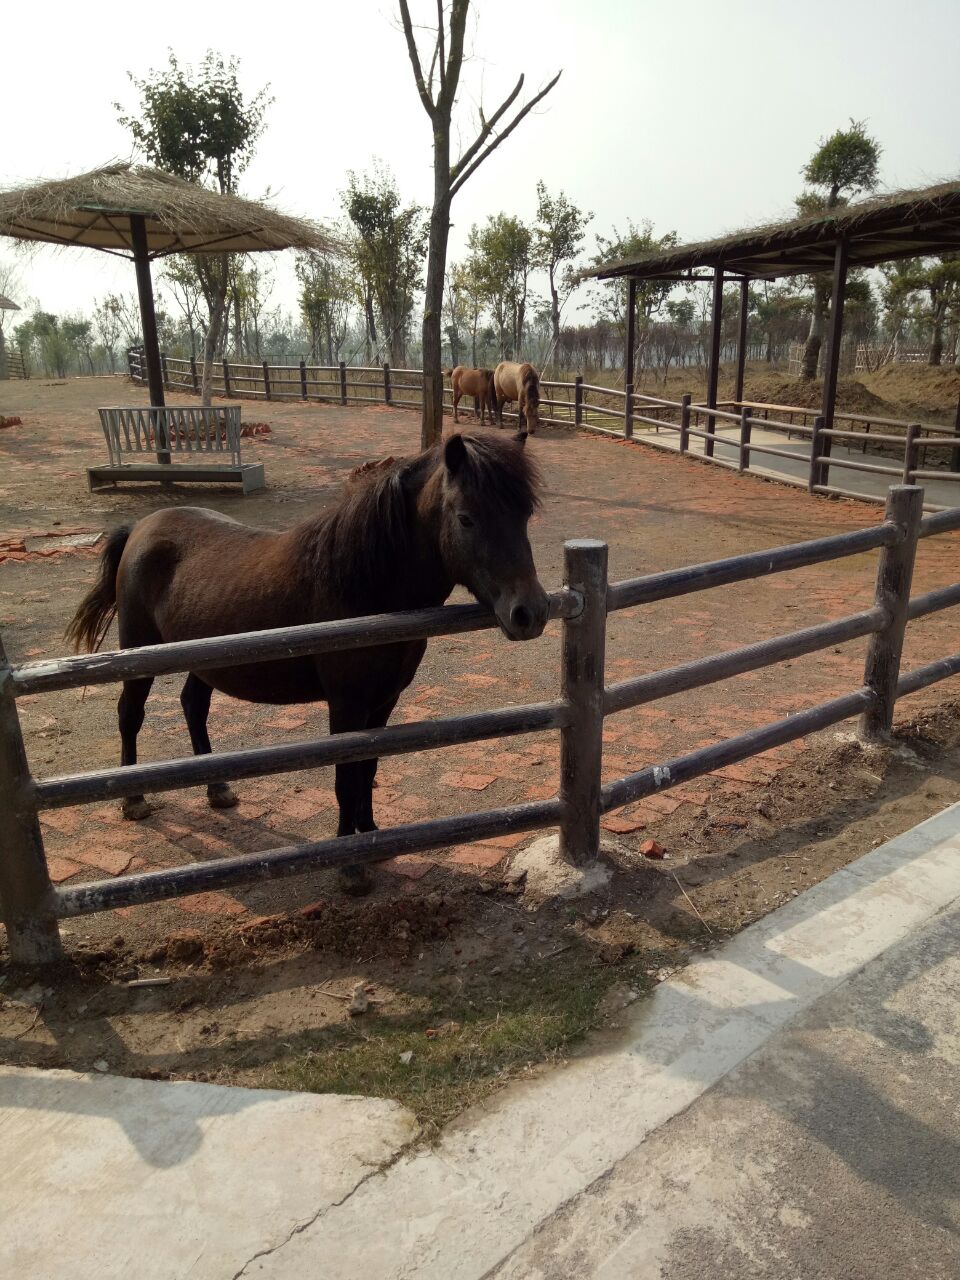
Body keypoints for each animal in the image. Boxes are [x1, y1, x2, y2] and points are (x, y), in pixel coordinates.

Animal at [67, 430, 547, 890]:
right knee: (130, 714)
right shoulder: (347, 704)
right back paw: (133, 799)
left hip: (205, 659)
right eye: (466, 517)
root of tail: (141, 527)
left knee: (193, 706)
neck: (365, 588)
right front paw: (350, 866)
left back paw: (218, 789)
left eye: (525, 515)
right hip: (139, 654)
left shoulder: (383, 701)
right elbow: (346, 779)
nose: (529, 613)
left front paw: (373, 837)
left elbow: (368, 768)